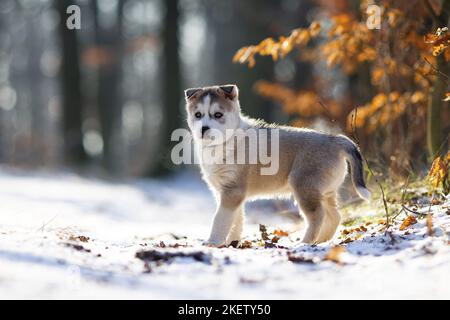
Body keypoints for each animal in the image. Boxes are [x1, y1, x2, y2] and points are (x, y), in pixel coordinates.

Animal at [184, 84, 370, 246]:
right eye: (198, 115)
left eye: (218, 115)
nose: (203, 129)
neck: (225, 142)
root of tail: (335, 139)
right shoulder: (225, 193)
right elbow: (236, 220)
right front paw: (232, 242)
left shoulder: (232, 191)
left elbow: (220, 219)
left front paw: (213, 242)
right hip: (324, 192)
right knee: (334, 216)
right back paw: (322, 241)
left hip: (305, 187)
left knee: (317, 216)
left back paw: (304, 243)